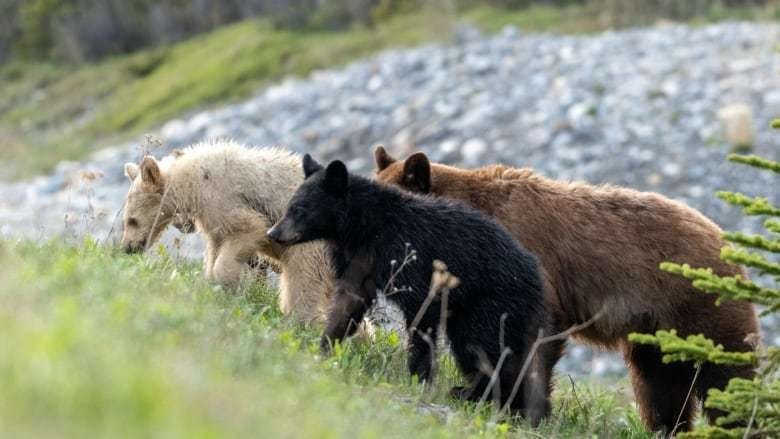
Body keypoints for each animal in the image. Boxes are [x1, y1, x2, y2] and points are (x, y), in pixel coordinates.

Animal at [270, 155, 560, 422]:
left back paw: (482, 396)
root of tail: (538, 280)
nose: (274, 233)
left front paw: (417, 377)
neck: (365, 228)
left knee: (483, 348)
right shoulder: (359, 261)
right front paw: (324, 345)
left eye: (299, 208)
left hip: (490, 304)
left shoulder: (411, 258)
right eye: (290, 205)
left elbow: (422, 315)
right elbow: (347, 303)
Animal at [374, 146, 760, 434]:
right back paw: (667, 428)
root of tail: (726, 242)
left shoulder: (524, 262)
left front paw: (521, 408)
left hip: (698, 307)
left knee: (726, 373)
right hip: (655, 334)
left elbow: (523, 337)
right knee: (659, 384)